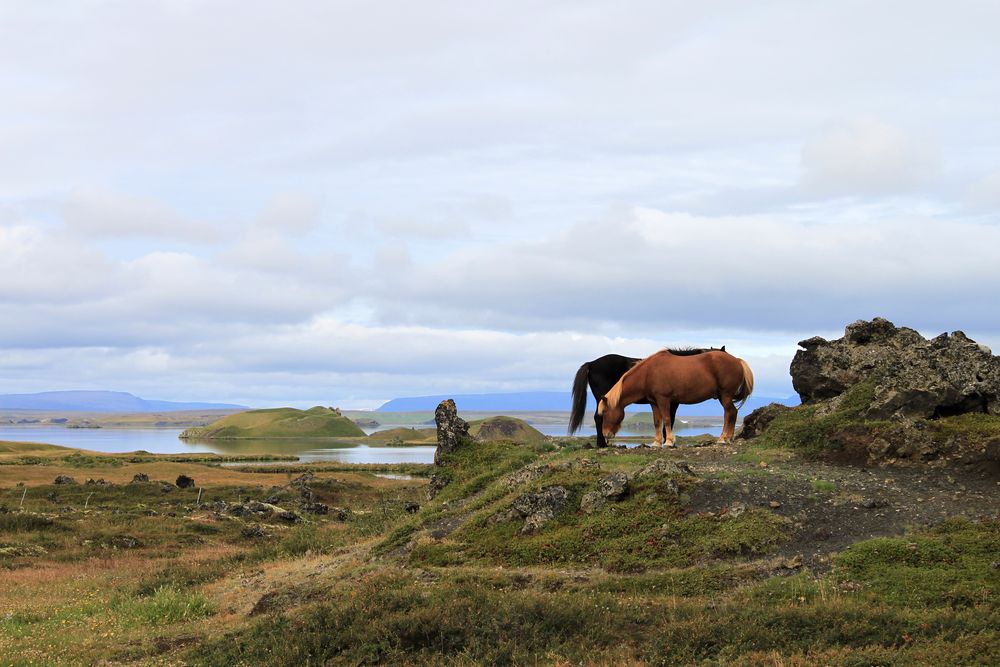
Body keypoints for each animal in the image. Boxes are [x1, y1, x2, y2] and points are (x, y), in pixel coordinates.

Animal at [596, 350, 752, 448]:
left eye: (605, 412)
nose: (606, 434)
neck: (648, 373)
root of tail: (737, 361)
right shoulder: (654, 402)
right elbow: (657, 422)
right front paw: (656, 443)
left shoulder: (663, 400)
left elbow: (666, 419)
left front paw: (669, 442)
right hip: (722, 396)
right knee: (732, 413)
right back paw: (728, 438)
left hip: (725, 396)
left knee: (729, 413)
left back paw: (723, 439)